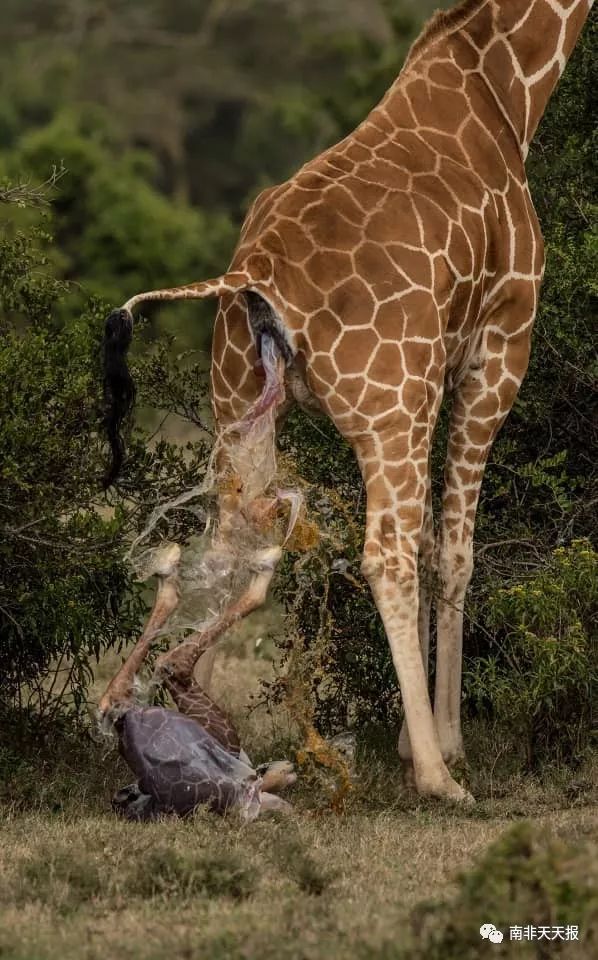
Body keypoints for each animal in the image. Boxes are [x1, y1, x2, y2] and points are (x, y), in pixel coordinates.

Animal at [103, 0, 596, 804]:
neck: (505, 89)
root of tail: (254, 271)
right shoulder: (498, 344)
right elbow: (451, 550)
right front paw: (445, 743)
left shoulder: (443, 368)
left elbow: (431, 540)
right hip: (388, 404)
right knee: (383, 554)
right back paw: (435, 780)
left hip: (242, 405)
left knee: (222, 552)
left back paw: (161, 721)